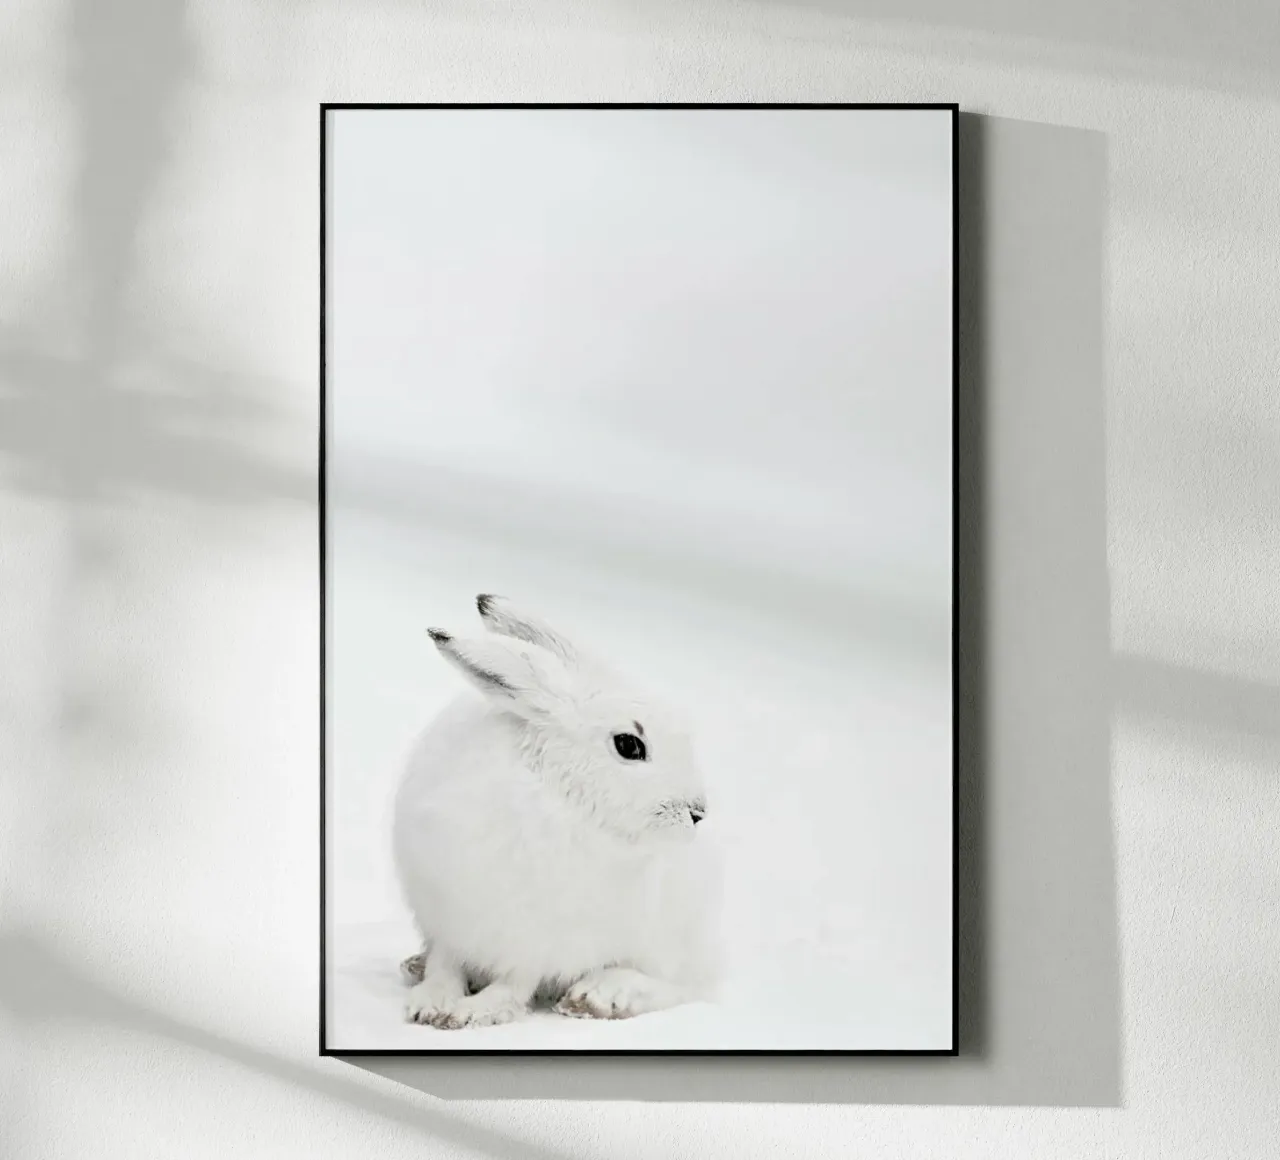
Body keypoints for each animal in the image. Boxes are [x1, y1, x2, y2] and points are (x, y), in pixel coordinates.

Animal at [392, 594, 721, 1030]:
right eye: (629, 745)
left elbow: (516, 982)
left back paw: (599, 997)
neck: (554, 796)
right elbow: (446, 964)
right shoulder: (448, 916)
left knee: (680, 986)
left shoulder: (539, 941)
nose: (697, 812)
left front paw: (473, 1012)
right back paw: (415, 964)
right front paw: (431, 1002)